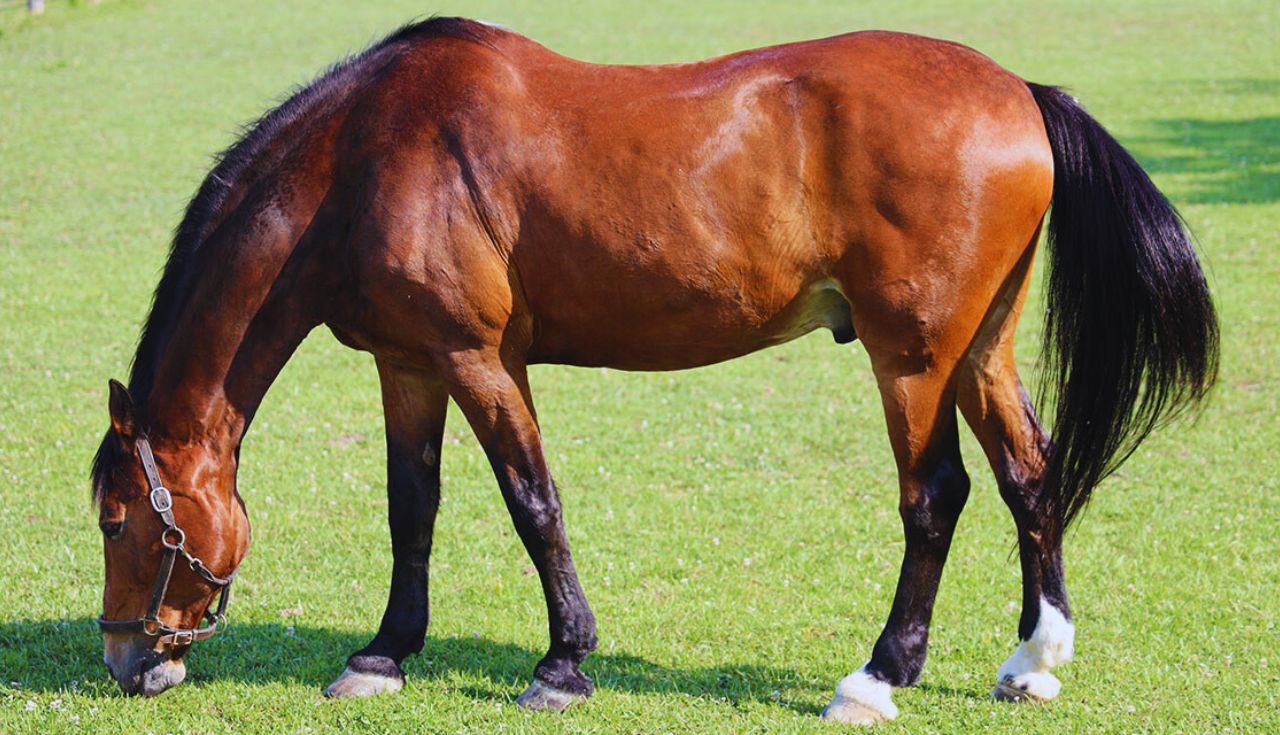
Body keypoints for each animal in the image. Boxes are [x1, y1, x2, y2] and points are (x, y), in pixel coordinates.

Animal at [92, 15, 1218, 727]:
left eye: (116, 519)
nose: (125, 659)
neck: (366, 154)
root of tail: (1016, 92)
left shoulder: (478, 358)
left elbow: (531, 500)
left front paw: (562, 662)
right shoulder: (409, 363)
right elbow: (413, 506)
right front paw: (382, 652)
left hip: (912, 358)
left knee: (935, 495)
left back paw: (876, 677)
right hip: (978, 349)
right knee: (1031, 475)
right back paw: (1033, 659)